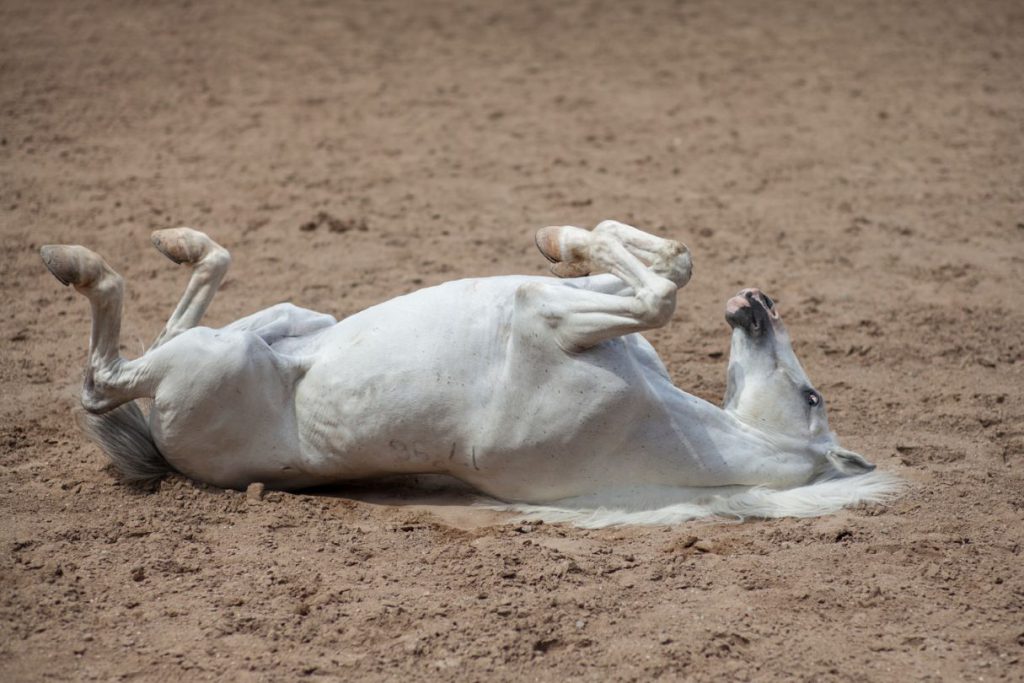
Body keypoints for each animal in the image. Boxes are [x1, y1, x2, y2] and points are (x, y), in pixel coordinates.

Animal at [39, 220, 900, 527]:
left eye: (812, 394)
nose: (758, 303)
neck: (672, 427)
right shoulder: (570, 306)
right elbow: (663, 268)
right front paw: (565, 235)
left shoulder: (550, 317)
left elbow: (659, 293)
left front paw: (573, 237)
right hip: (280, 322)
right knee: (186, 302)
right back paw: (176, 240)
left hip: (212, 360)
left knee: (105, 377)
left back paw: (74, 260)